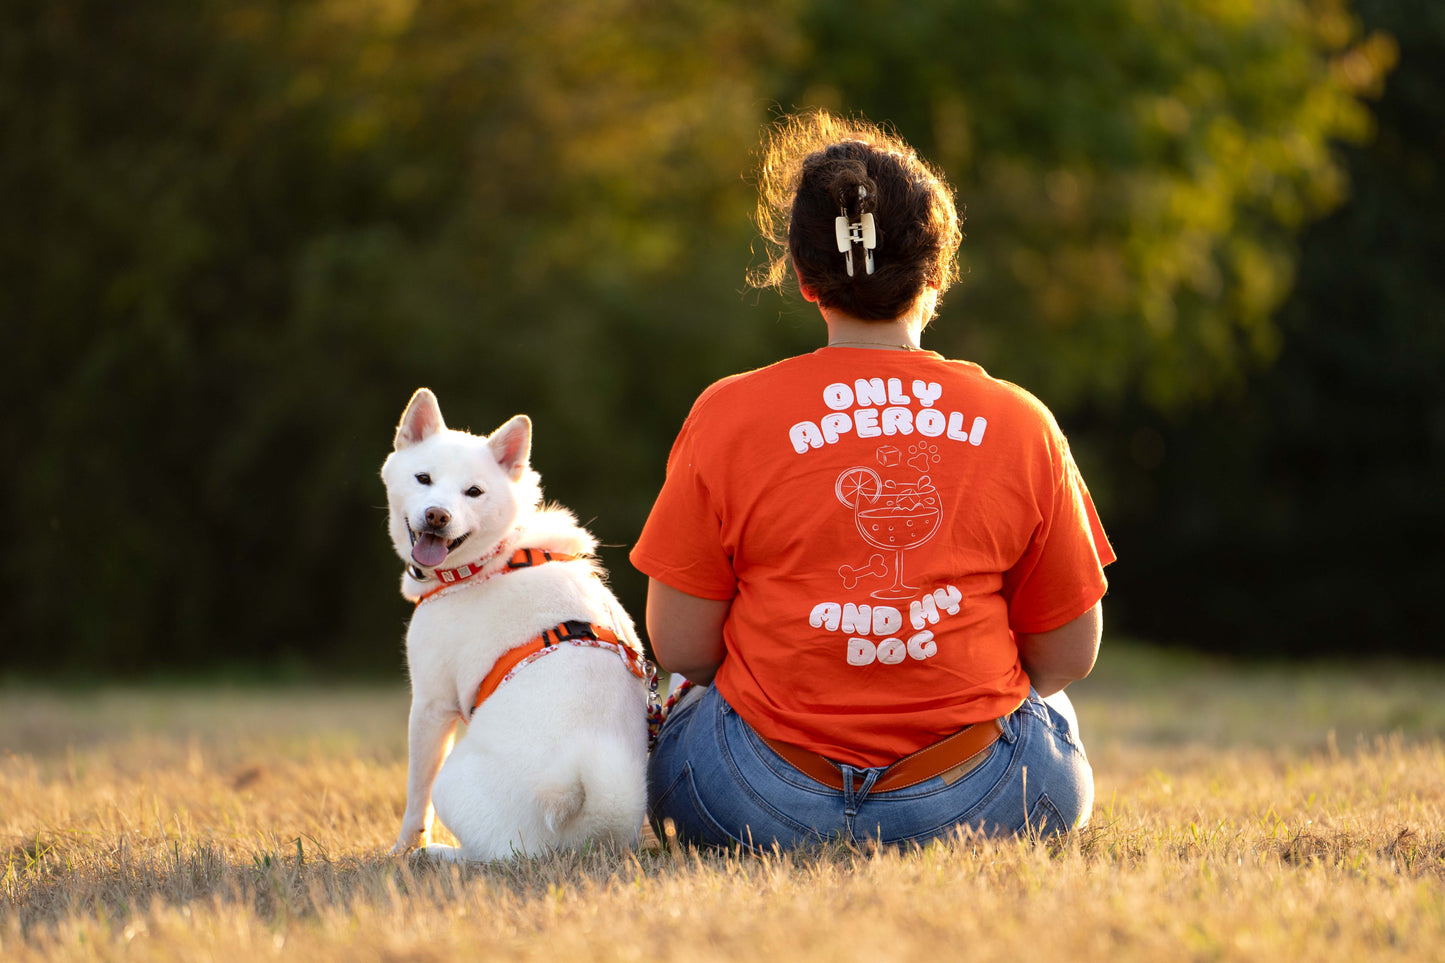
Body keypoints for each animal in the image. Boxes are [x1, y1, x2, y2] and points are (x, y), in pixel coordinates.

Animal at [384, 387, 656, 856]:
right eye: (423, 478)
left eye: (473, 492)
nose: (437, 515)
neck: (490, 560)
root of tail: (587, 825)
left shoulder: (431, 707)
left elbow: (416, 800)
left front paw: (402, 849)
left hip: (455, 781)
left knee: (488, 857)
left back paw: (435, 853)